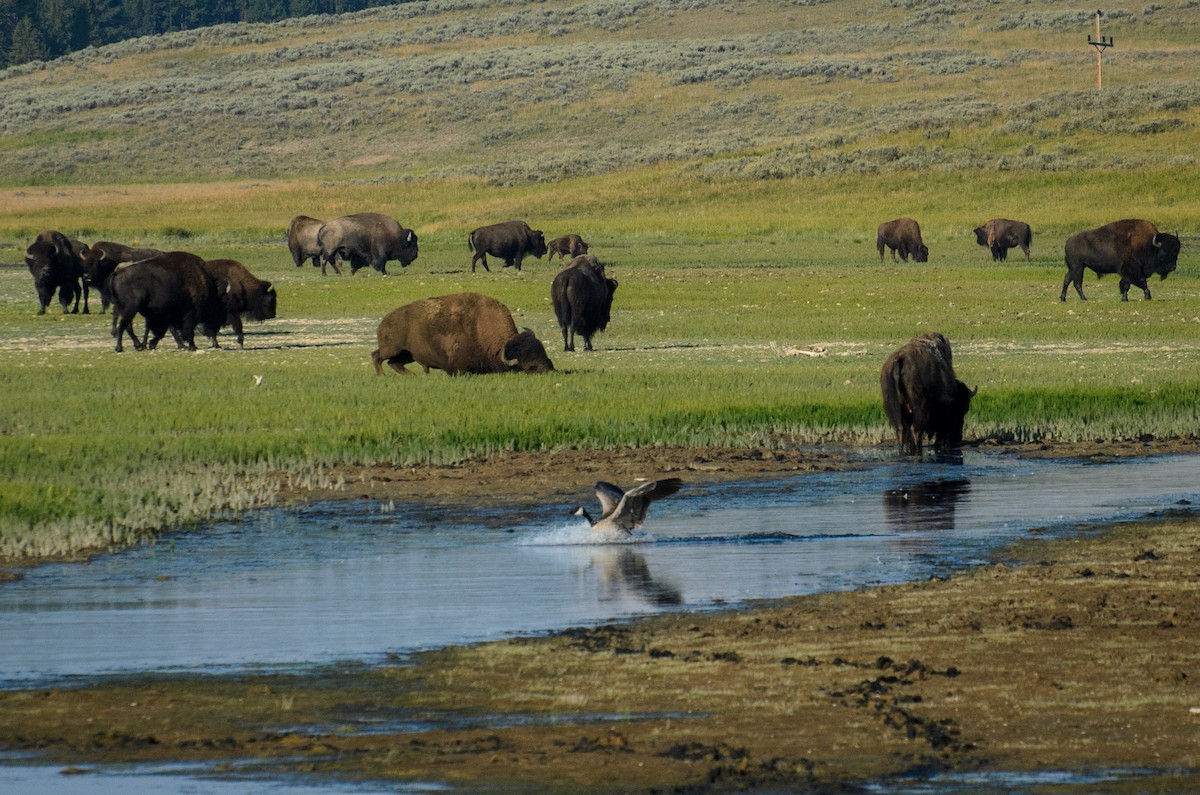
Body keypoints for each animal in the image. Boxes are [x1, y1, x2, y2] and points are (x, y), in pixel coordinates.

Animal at [372, 294, 554, 379]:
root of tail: (384, 322)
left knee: (394, 363)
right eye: (531, 367)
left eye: (545, 354)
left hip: (407, 354)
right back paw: (382, 377)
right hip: (393, 349)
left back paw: (412, 376)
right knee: (377, 356)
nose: (551, 370)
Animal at [883, 333, 974, 461]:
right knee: (915, 431)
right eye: (964, 409)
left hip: (896, 412)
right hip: (919, 410)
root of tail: (901, 360)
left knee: (901, 431)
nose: (958, 437)